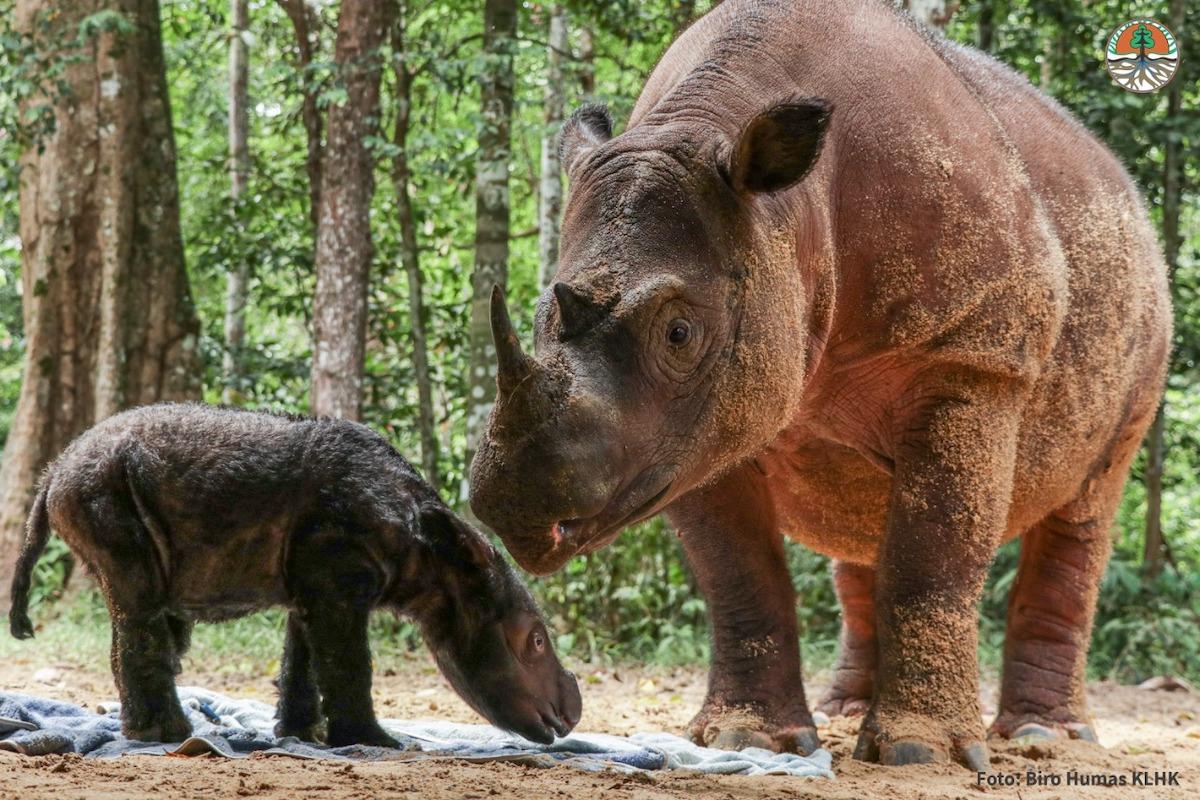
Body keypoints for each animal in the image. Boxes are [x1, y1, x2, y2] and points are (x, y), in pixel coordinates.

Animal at [9, 402, 580, 748]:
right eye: (534, 642)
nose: (572, 713)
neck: (435, 557)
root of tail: (52, 473)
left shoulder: (317, 579)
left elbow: (304, 658)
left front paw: (307, 738)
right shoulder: (337, 570)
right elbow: (350, 662)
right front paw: (378, 742)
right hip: (100, 488)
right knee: (141, 601)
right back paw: (168, 736)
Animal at [468, 0, 1171, 767]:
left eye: (679, 333)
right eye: (541, 315)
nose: (512, 502)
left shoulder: (972, 359)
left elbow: (934, 555)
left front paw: (921, 754)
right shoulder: (700, 428)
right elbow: (738, 572)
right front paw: (751, 737)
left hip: (1145, 317)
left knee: (1086, 506)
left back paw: (1047, 737)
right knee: (864, 524)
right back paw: (848, 710)